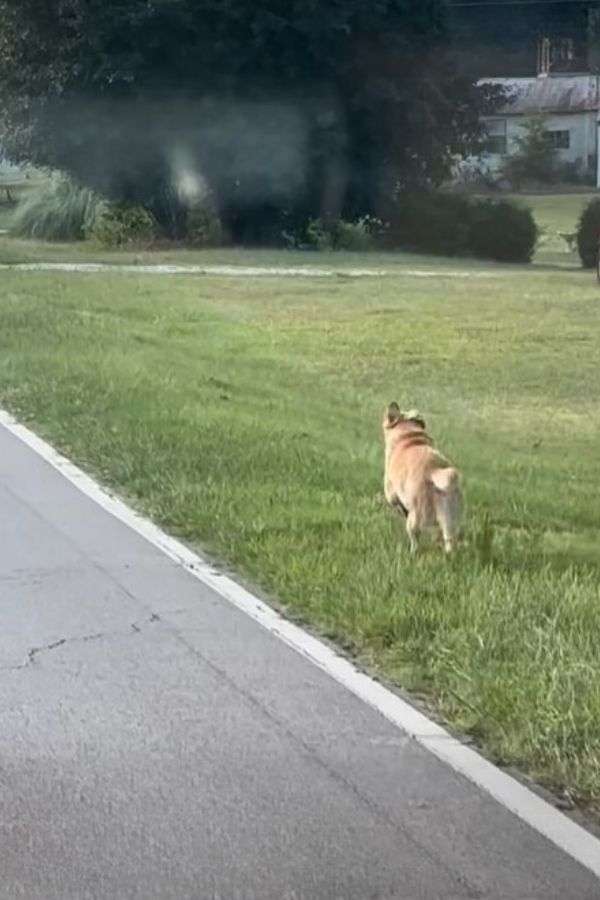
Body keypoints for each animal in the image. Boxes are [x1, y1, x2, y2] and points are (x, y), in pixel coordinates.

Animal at [384, 402, 464, 556]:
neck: (407, 432)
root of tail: (434, 471)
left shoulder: (391, 493)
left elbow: (397, 504)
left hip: (415, 520)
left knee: (416, 539)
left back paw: (412, 553)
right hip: (450, 520)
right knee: (447, 540)